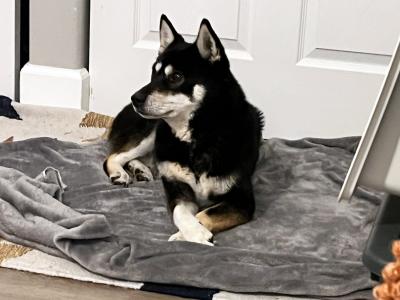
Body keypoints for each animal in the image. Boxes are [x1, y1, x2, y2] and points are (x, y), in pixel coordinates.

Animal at [104, 14, 264, 246]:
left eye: (176, 77)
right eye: (153, 73)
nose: (135, 98)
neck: (198, 136)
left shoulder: (241, 200)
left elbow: (204, 214)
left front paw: (188, 235)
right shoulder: (177, 189)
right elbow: (179, 213)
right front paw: (194, 233)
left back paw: (140, 170)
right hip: (152, 131)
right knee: (113, 156)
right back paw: (121, 172)